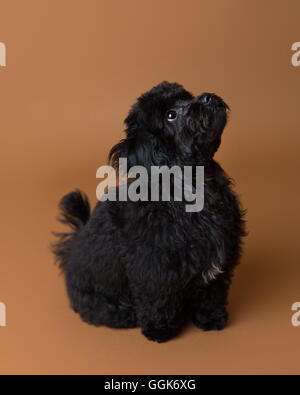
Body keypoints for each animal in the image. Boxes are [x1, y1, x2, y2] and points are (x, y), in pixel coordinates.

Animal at [54, 82, 246, 342]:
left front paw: (212, 319)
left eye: (186, 96)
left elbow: (211, 294)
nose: (206, 97)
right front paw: (159, 330)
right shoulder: (154, 268)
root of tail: (72, 249)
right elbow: (157, 300)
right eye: (170, 115)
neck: (193, 186)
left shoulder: (219, 261)